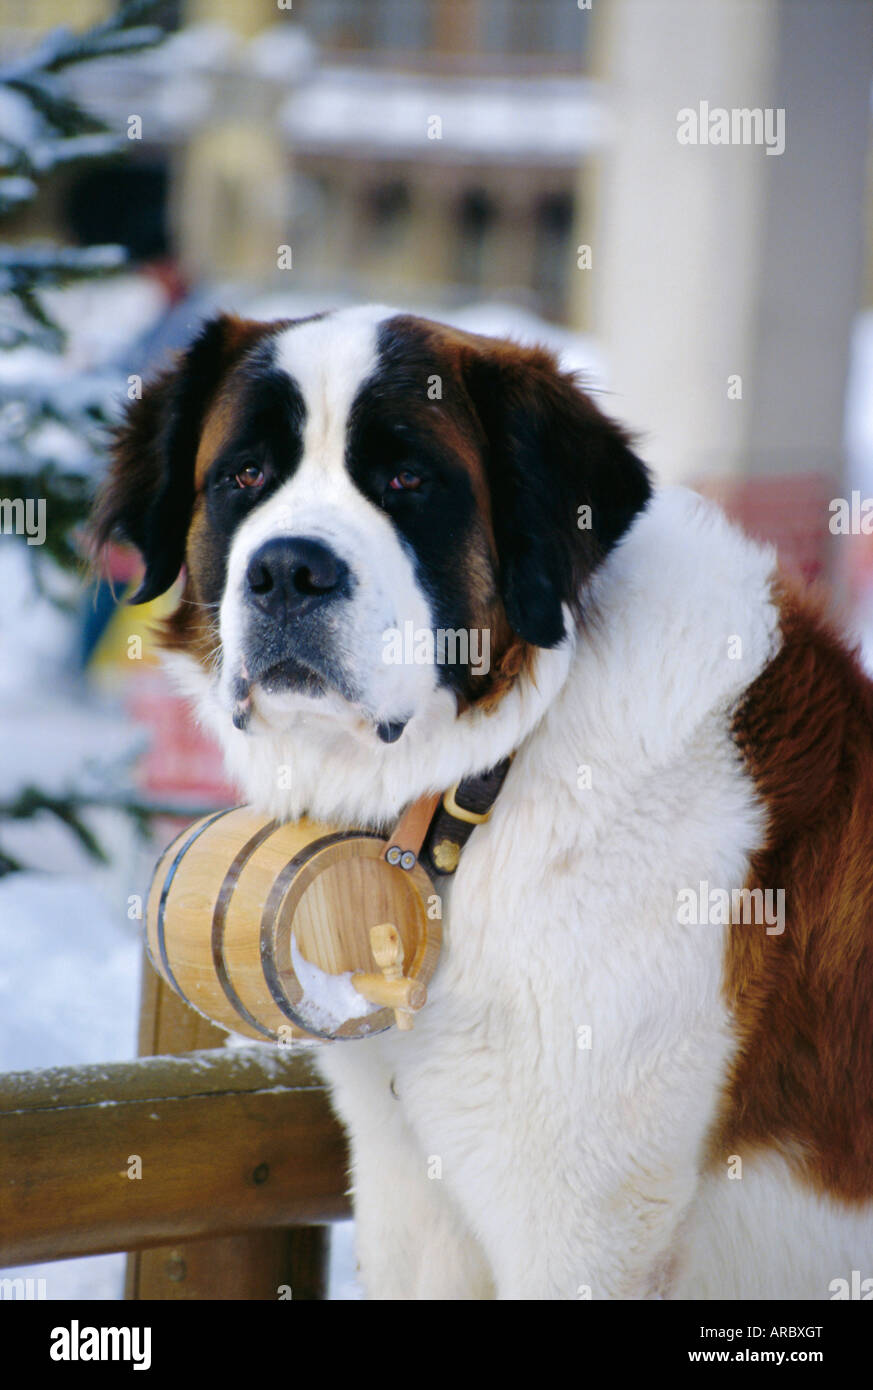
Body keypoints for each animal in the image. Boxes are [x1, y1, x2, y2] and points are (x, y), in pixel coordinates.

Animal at [95, 307, 873, 1301]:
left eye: (407, 479)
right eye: (245, 476)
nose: (287, 571)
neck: (494, 775)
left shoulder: (580, 1223)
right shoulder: (411, 1181)